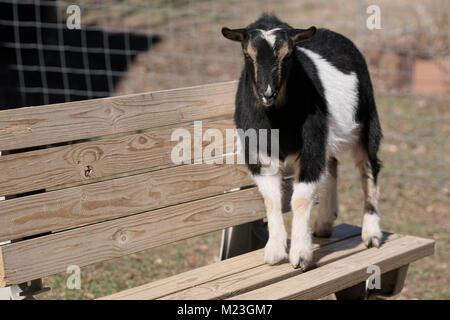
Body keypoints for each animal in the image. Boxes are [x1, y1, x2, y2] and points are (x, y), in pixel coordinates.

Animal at [221, 14, 384, 270]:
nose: (267, 93)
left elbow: (300, 199)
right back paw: (324, 224)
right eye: (247, 54)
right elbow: (272, 199)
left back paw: (371, 233)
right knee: (333, 163)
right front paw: (275, 251)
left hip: (367, 119)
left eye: (288, 55)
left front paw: (300, 255)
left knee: (369, 168)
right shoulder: (259, 155)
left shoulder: (311, 147)